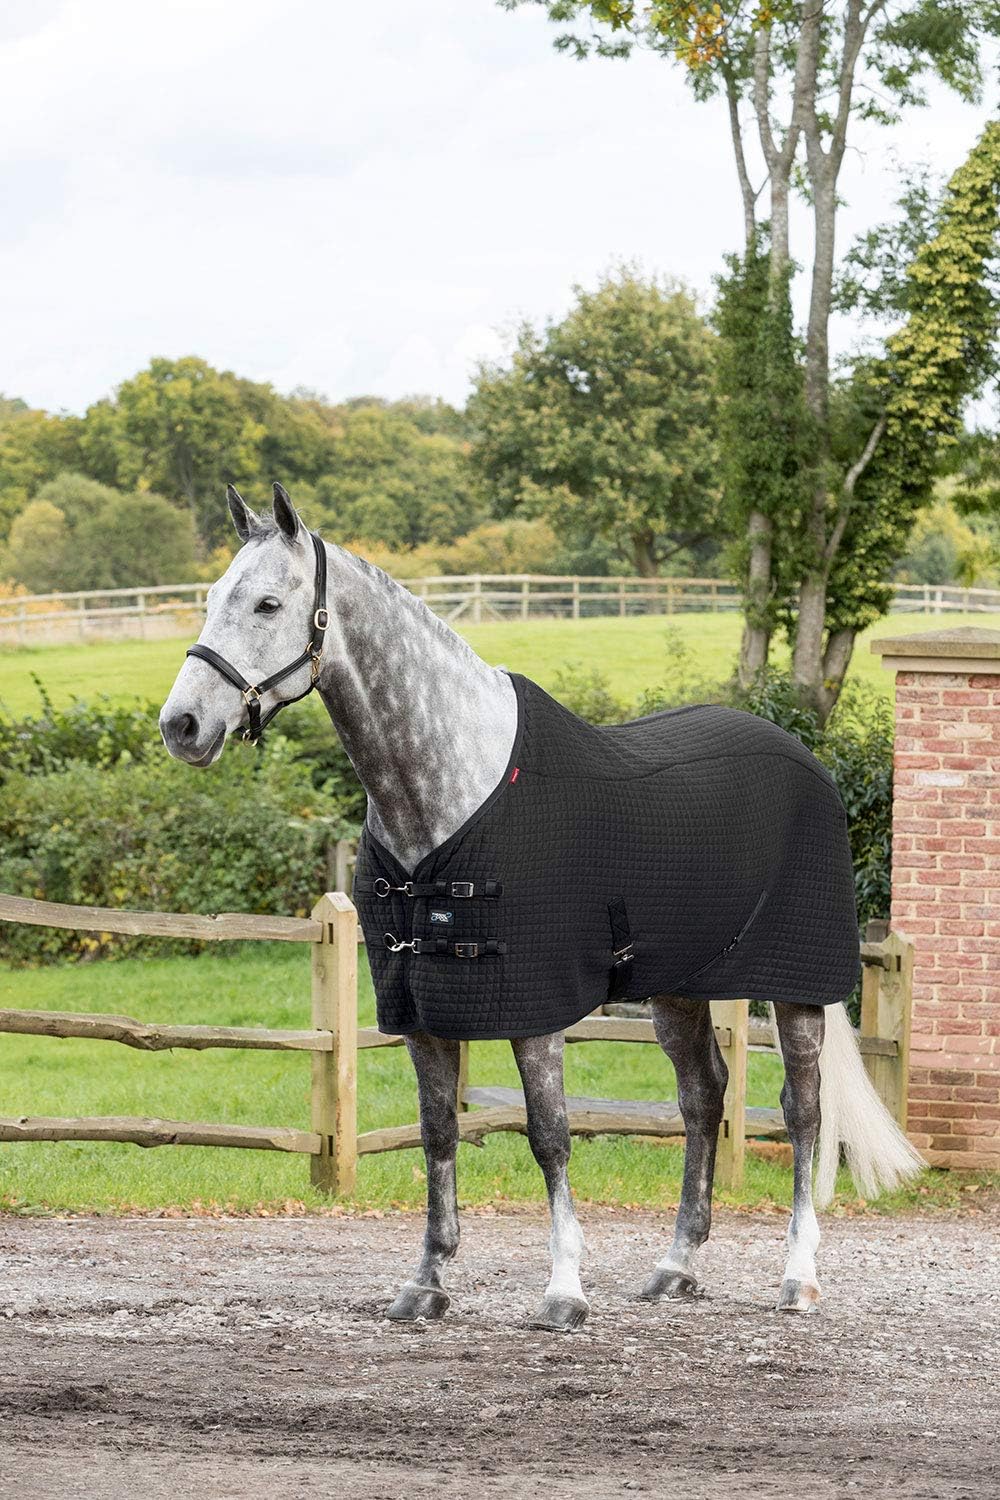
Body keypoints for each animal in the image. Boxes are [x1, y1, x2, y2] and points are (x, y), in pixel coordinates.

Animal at [160, 482, 924, 1330]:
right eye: (209, 599)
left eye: (267, 603)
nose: (181, 725)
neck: (452, 785)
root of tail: (807, 762)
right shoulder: (420, 1008)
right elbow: (437, 1133)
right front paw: (427, 1281)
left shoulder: (535, 1005)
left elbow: (549, 1136)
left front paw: (564, 1289)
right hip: (678, 990)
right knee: (703, 1098)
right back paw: (675, 1266)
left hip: (794, 990)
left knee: (803, 1113)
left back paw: (798, 1277)